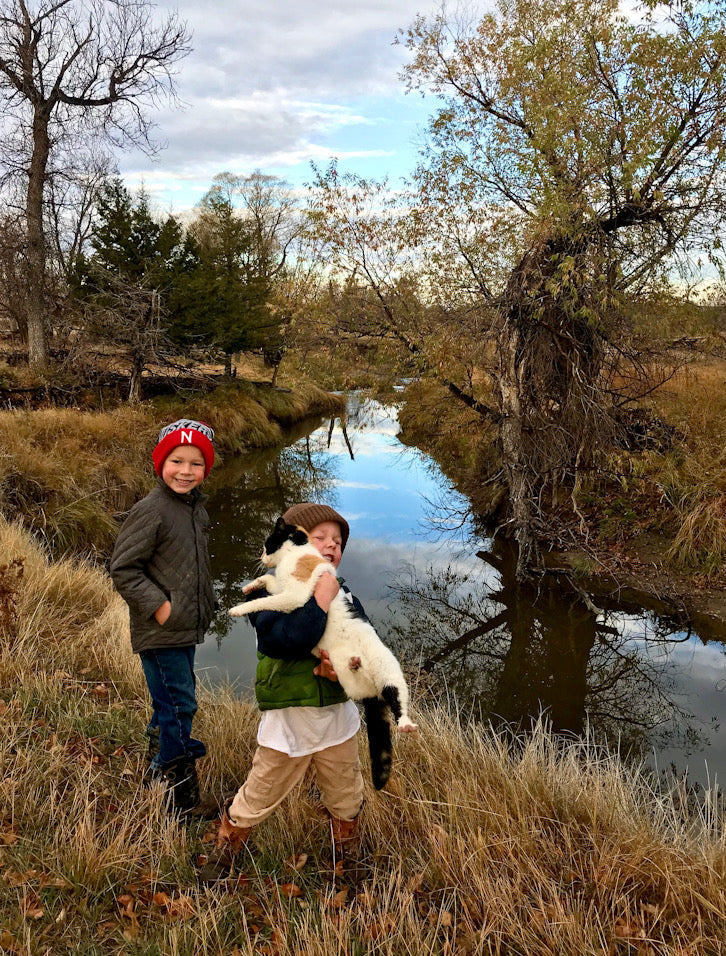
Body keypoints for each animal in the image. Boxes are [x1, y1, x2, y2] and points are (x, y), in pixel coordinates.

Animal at [230, 520, 418, 788]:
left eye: (267, 544)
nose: (261, 556)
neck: (296, 553)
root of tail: (373, 688)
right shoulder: (282, 589)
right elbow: (267, 579)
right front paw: (250, 585)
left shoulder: (294, 596)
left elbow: (263, 600)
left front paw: (238, 607)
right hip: (351, 682)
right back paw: (349, 666)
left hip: (388, 672)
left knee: (398, 702)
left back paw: (405, 725)